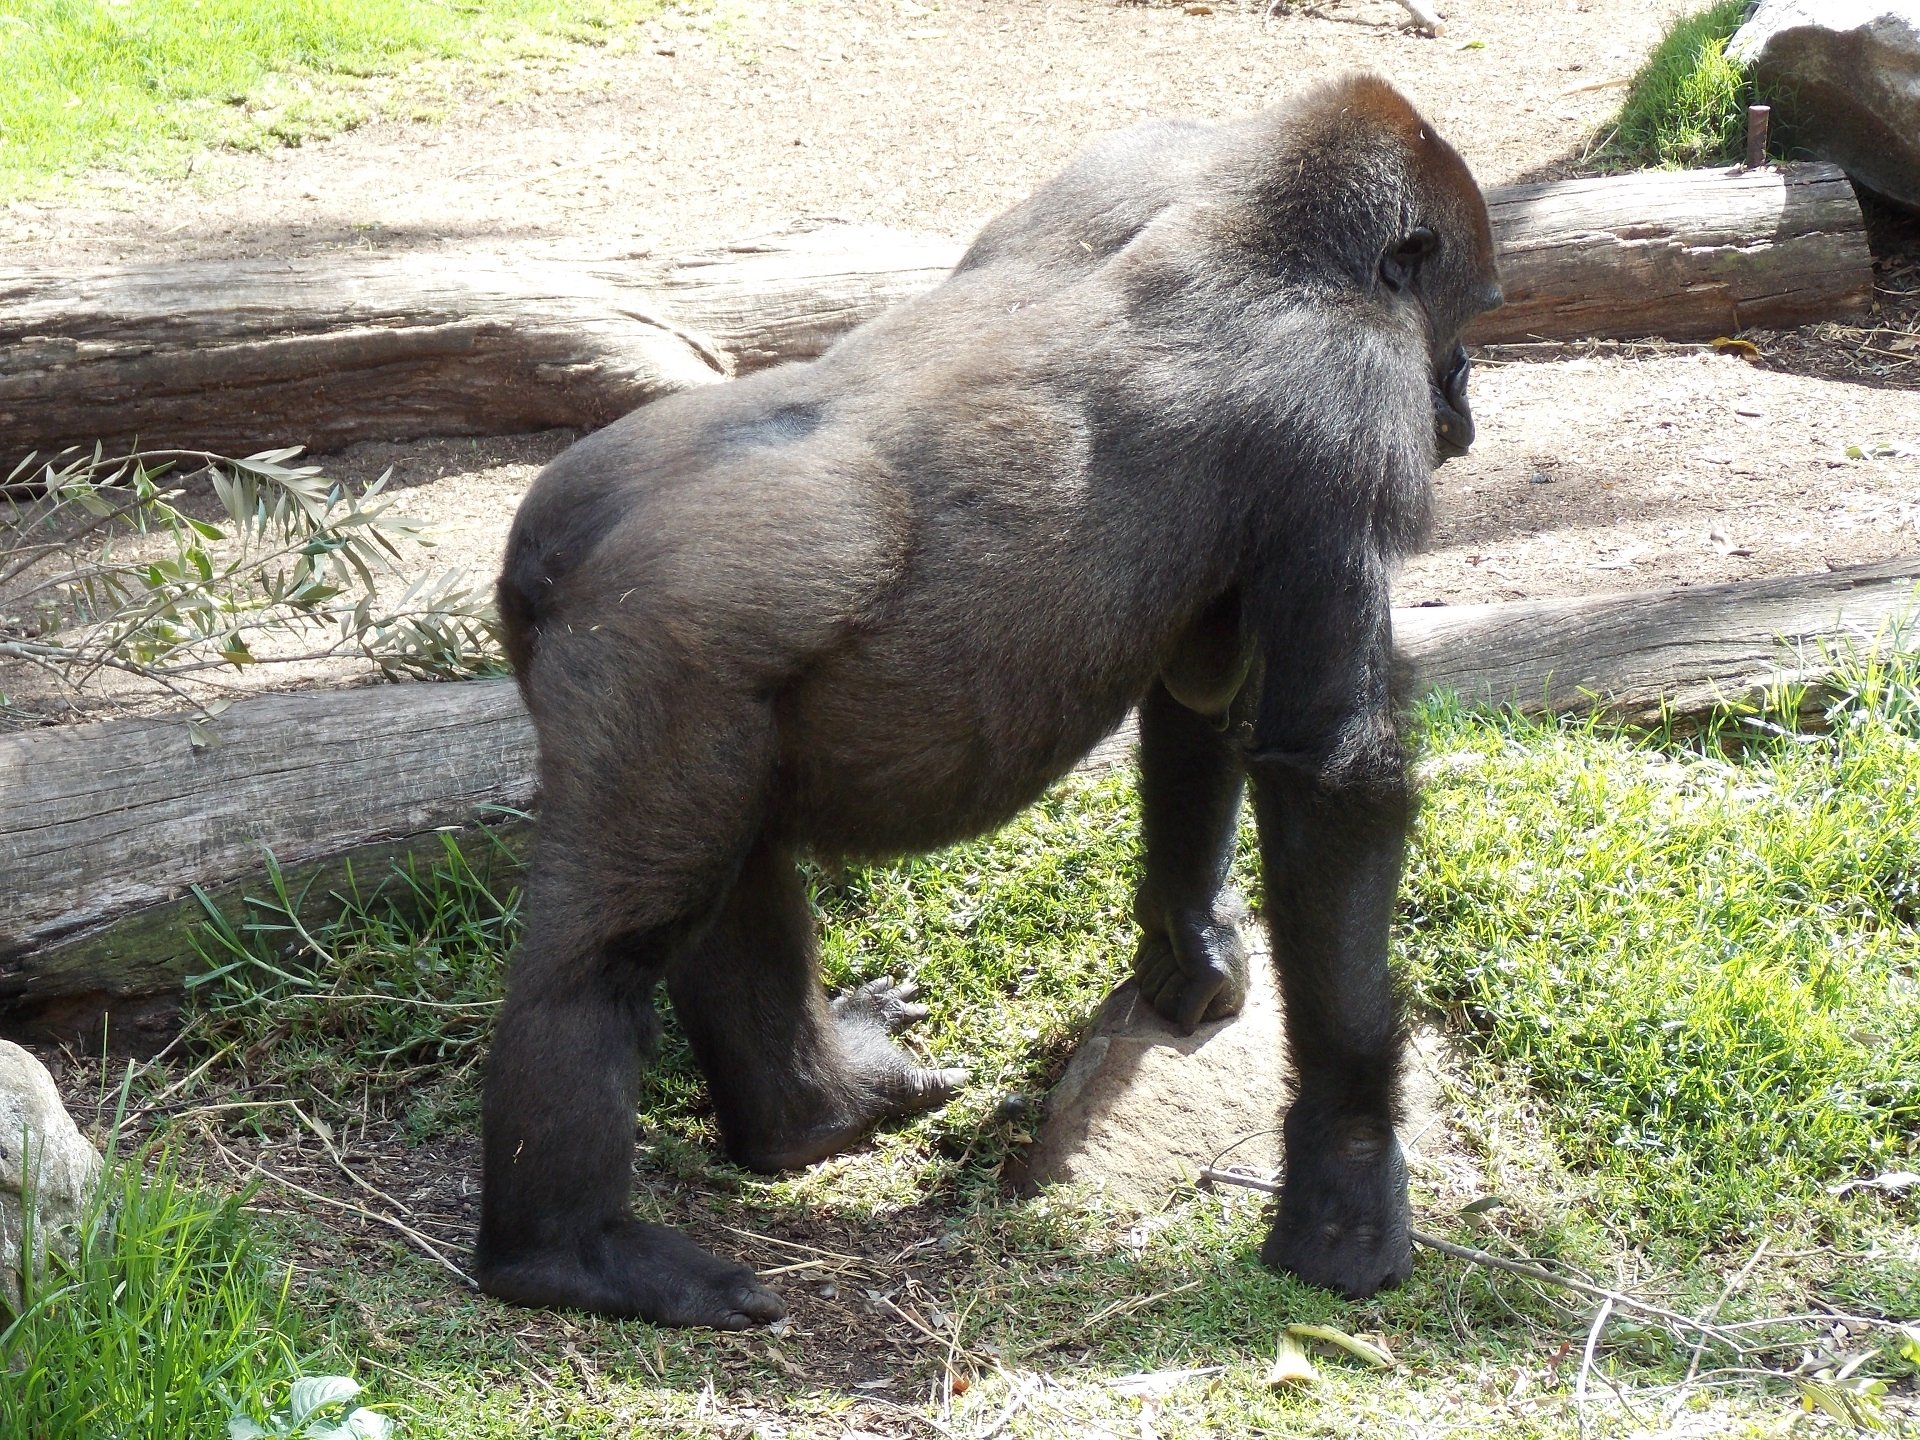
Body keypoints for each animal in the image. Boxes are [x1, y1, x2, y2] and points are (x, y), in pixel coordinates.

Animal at [477, 72, 1502, 1329]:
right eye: (1472, 315)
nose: (1464, 400)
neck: (1265, 222)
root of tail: (555, 551)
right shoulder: (1349, 405)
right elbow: (1332, 775)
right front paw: (1348, 1171)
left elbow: (1204, 696)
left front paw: (1189, 943)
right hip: (665, 661)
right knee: (603, 957)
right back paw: (566, 1252)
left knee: (729, 875)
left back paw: (815, 1115)